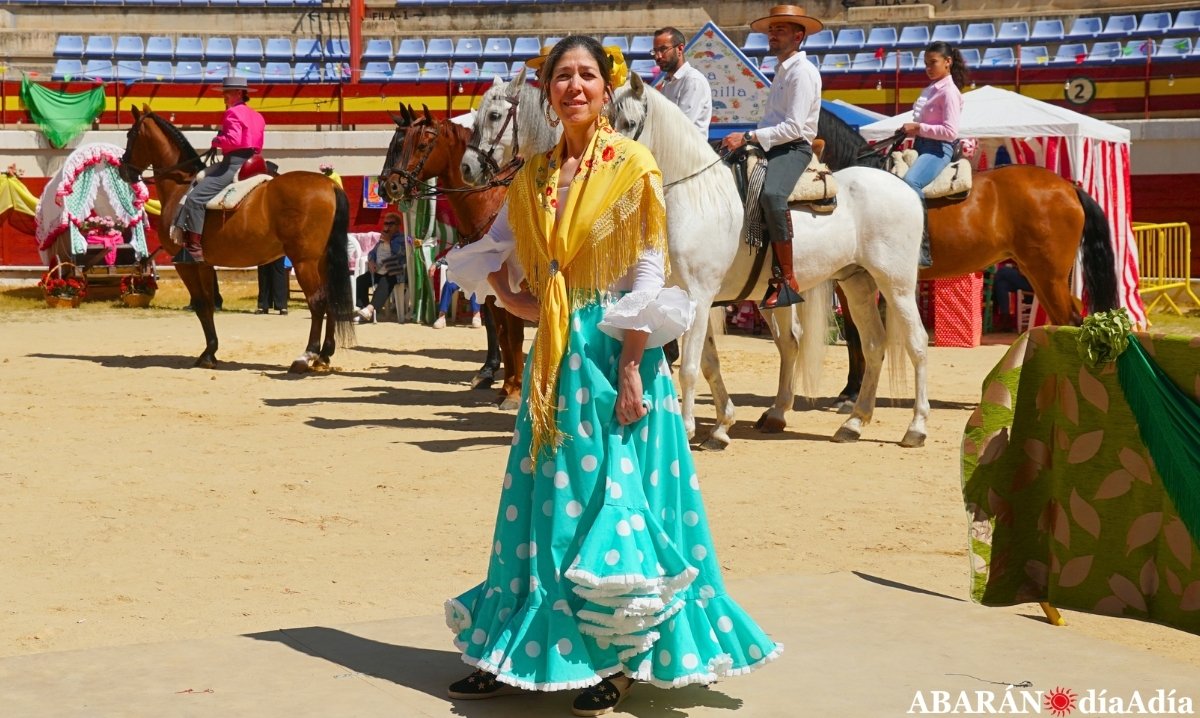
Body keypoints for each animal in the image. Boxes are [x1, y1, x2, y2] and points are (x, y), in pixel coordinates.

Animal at [119, 105, 355, 372]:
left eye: (130, 134)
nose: (123, 170)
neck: (180, 187)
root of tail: (329, 185)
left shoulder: (185, 264)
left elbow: (201, 304)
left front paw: (208, 353)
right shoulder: (205, 264)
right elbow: (208, 305)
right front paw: (211, 352)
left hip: (304, 262)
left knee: (317, 302)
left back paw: (307, 355)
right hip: (324, 261)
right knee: (332, 299)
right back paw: (325, 354)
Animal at [378, 103, 526, 410]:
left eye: (421, 145)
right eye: (397, 145)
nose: (390, 186)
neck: (489, 203)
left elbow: (514, 335)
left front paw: (515, 394)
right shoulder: (490, 290)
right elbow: (503, 335)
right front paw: (505, 388)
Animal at [816, 110, 1120, 402]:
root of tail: (1069, 187)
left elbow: (859, 333)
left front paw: (852, 391)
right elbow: (854, 333)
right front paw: (851, 389)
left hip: (1048, 276)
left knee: (1071, 321)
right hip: (1041, 276)